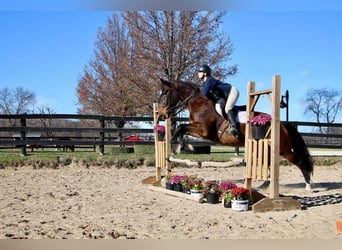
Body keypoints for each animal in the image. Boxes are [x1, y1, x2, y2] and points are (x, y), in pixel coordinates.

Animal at [159, 78, 314, 189]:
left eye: (165, 93)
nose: (161, 115)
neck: (198, 102)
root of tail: (281, 123)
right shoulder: (199, 131)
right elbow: (181, 128)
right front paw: (182, 145)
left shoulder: (204, 131)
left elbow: (180, 127)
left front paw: (176, 145)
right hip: (265, 147)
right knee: (269, 163)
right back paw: (264, 185)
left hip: (283, 149)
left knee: (299, 161)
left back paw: (308, 184)